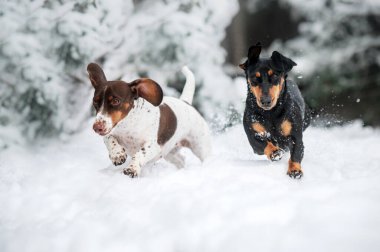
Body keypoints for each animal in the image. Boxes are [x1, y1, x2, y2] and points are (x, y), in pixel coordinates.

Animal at [240, 42, 308, 178]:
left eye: (275, 75)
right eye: (254, 78)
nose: (265, 101)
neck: (271, 113)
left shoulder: (296, 136)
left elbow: (296, 152)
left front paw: (295, 170)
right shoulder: (252, 135)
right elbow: (262, 143)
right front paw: (274, 152)